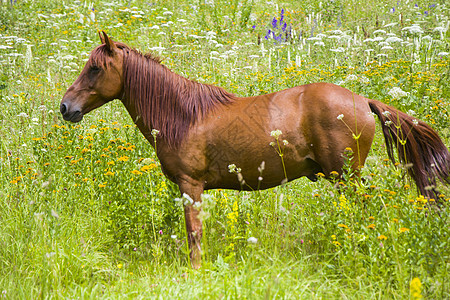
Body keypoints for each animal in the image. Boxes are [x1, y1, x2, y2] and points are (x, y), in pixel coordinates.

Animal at [60, 31, 450, 268]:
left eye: (95, 69)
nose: (65, 107)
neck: (183, 115)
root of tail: (362, 100)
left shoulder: (191, 187)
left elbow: (194, 235)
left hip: (346, 177)